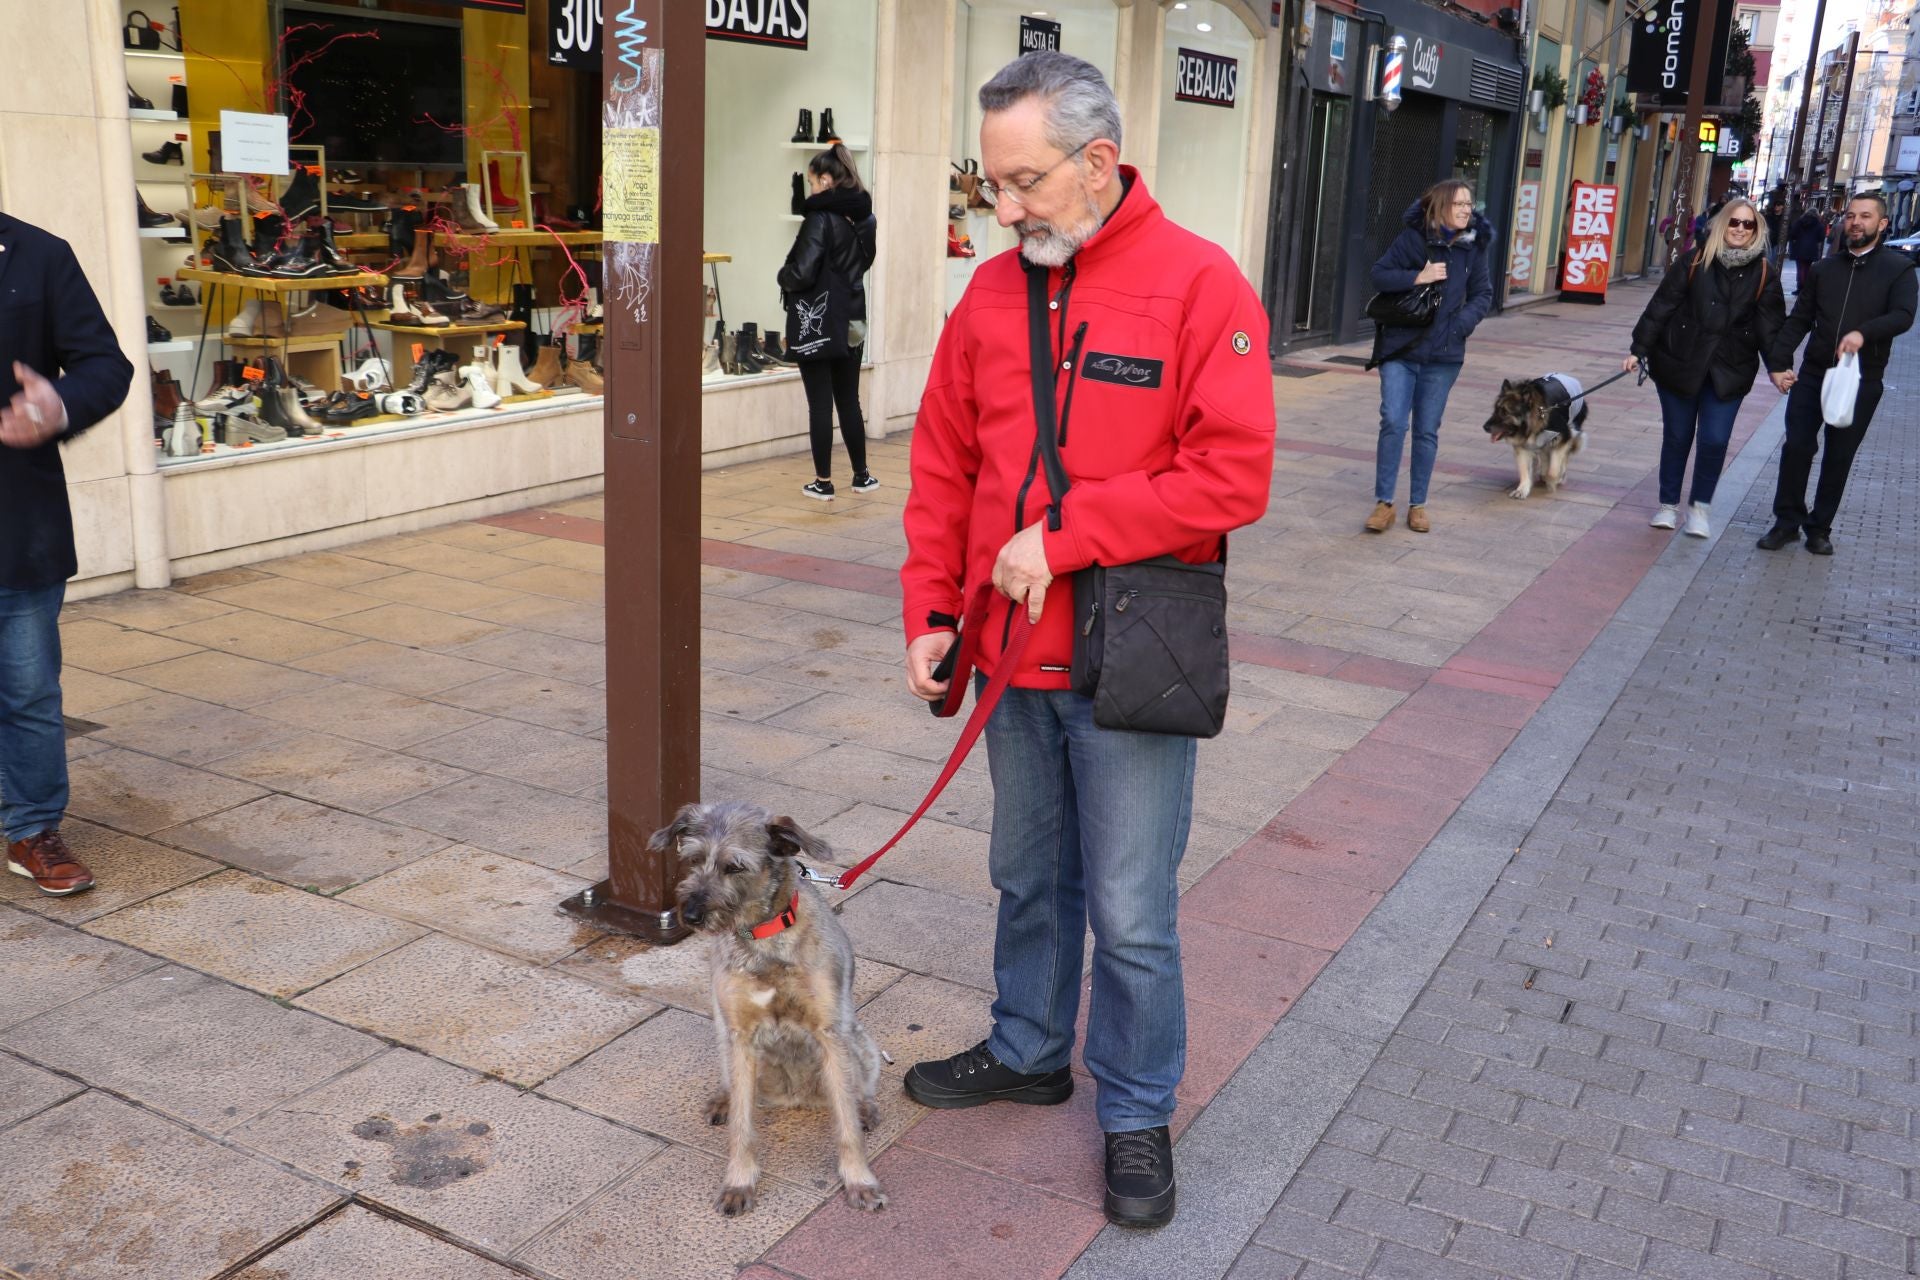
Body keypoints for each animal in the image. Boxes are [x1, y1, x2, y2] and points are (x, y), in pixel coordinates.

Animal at [648, 805, 879, 1220]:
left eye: (735, 866)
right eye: (693, 859)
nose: (689, 914)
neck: (763, 938)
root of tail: (795, 1098)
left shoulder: (830, 1034)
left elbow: (846, 1123)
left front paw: (859, 1180)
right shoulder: (740, 1035)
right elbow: (742, 1127)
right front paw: (739, 1183)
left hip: (859, 1041)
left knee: (859, 1091)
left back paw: (866, 1109)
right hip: (725, 1040)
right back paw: (723, 1100)